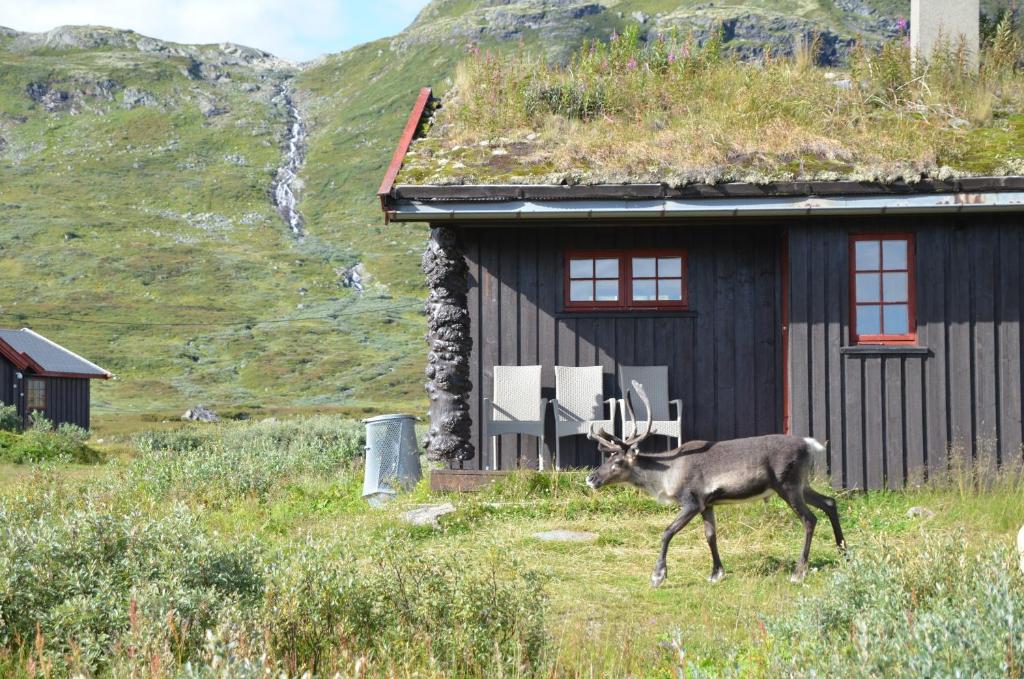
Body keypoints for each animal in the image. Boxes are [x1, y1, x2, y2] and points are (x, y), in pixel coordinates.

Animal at [586, 381, 845, 586]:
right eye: (608, 457)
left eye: (618, 462)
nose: (591, 478)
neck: (666, 474)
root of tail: (809, 445)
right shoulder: (707, 504)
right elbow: (711, 535)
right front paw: (716, 573)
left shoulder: (692, 501)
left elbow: (667, 531)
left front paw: (658, 575)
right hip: (802, 485)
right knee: (829, 502)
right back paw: (844, 552)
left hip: (788, 486)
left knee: (809, 519)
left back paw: (799, 572)